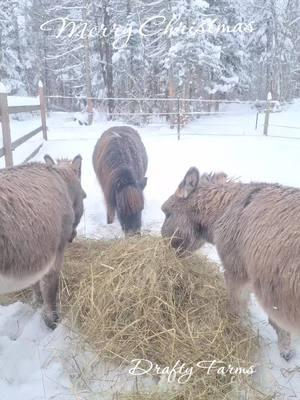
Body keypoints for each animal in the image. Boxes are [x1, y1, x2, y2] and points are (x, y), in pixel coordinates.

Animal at [0, 154, 85, 328]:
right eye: (83, 195)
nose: (72, 236)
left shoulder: (31, 255)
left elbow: (35, 284)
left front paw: (37, 302)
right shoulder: (55, 252)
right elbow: (50, 288)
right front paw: (52, 321)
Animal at [162, 167, 300, 360]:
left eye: (166, 213)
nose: (162, 245)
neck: (225, 209)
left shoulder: (237, 273)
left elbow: (238, 310)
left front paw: (237, 335)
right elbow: (275, 319)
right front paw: (285, 348)